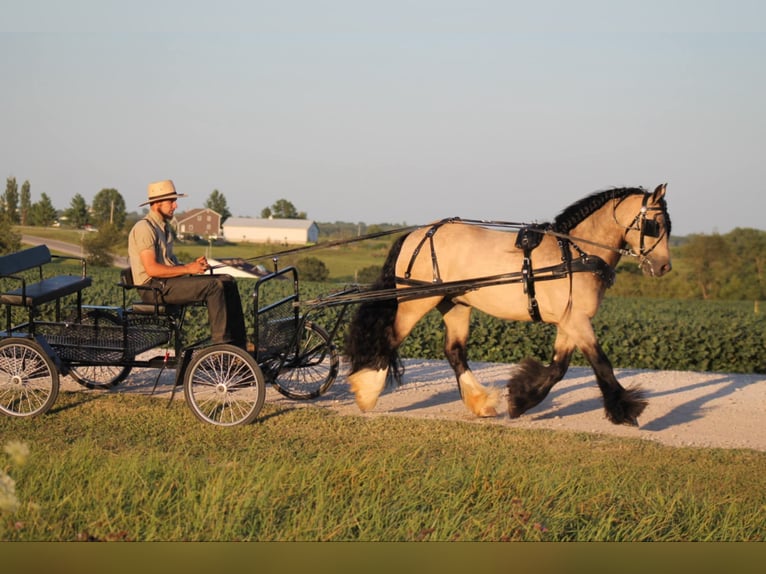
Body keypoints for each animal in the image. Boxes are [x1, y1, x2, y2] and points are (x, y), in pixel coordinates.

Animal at [344, 184, 676, 428]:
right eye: (653, 224)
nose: (664, 267)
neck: (575, 255)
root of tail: (419, 233)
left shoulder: (570, 320)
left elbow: (558, 367)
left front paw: (520, 399)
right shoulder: (578, 321)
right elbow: (601, 364)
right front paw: (626, 410)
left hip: (456, 304)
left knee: (454, 351)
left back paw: (481, 403)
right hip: (417, 301)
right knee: (390, 338)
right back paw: (367, 393)